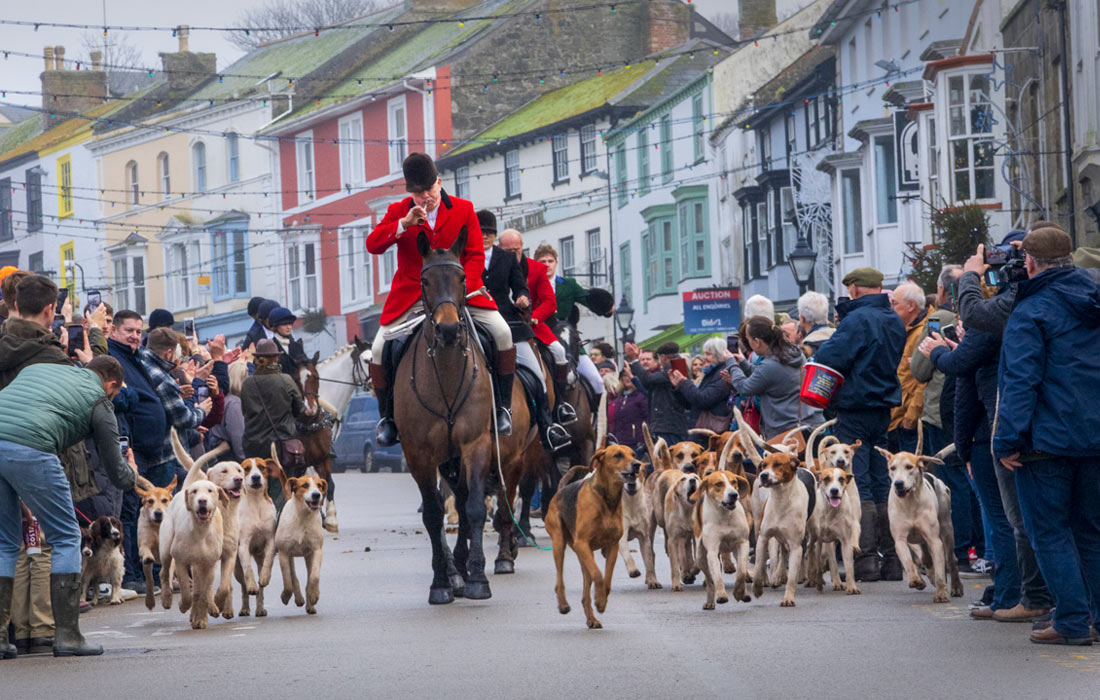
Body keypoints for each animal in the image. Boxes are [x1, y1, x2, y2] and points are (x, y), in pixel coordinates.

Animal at [398, 226, 534, 603]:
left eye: (461, 278)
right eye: (424, 280)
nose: (447, 331)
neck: (444, 372)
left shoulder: (476, 444)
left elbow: (474, 506)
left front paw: (476, 579)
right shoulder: (418, 455)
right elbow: (433, 514)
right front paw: (442, 582)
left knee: (490, 499)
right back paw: (454, 569)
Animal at [543, 444, 642, 629]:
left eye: (633, 454)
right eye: (618, 455)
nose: (637, 464)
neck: (607, 499)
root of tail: (560, 490)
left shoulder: (612, 546)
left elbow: (607, 580)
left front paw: (601, 601)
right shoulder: (582, 543)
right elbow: (598, 575)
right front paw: (599, 600)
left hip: (583, 556)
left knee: (585, 594)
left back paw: (591, 619)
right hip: (560, 544)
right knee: (560, 581)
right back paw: (563, 605)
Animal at [875, 451, 963, 603]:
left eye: (909, 467)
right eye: (892, 468)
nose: (898, 483)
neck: (910, 501)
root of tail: (928, 473)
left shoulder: (935, 541)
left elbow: (940, 571)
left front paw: (941, 593)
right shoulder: (900, 540)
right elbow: (908, 562)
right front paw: (916, 579)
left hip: (946, 529)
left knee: (951, 559)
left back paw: (956, 586)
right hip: (915, 541)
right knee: (922, 556)